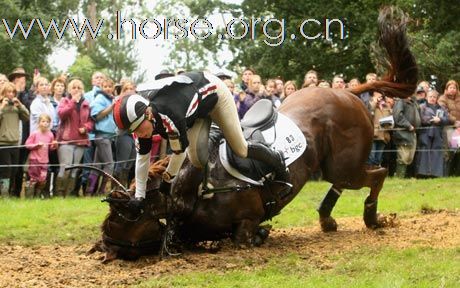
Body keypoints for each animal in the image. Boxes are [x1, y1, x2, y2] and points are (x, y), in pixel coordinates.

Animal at [89, 6, 416, 264]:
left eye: (119, 219)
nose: (103, 249)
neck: (193, 191)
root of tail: (347, 91)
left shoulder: (244, 216)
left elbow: (241, 236)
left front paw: (261, 234)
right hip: (334, 165)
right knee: (346, 181)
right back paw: (326, 218)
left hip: (344, 165)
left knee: (377, 174)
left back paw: (372, 218)